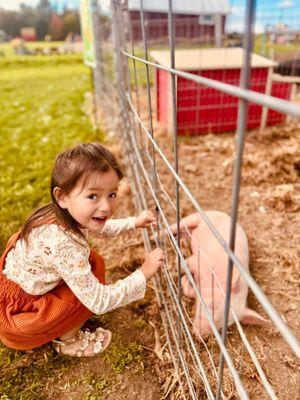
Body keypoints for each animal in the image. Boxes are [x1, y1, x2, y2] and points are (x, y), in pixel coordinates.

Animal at [170, 209, 266, 338]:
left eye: (223, 326)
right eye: (212, 305)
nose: (199, 336)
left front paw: (185, 280)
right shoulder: (199, 260)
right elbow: (187, 264)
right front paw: (179, 273)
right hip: (196, 217)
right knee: (176, 226)